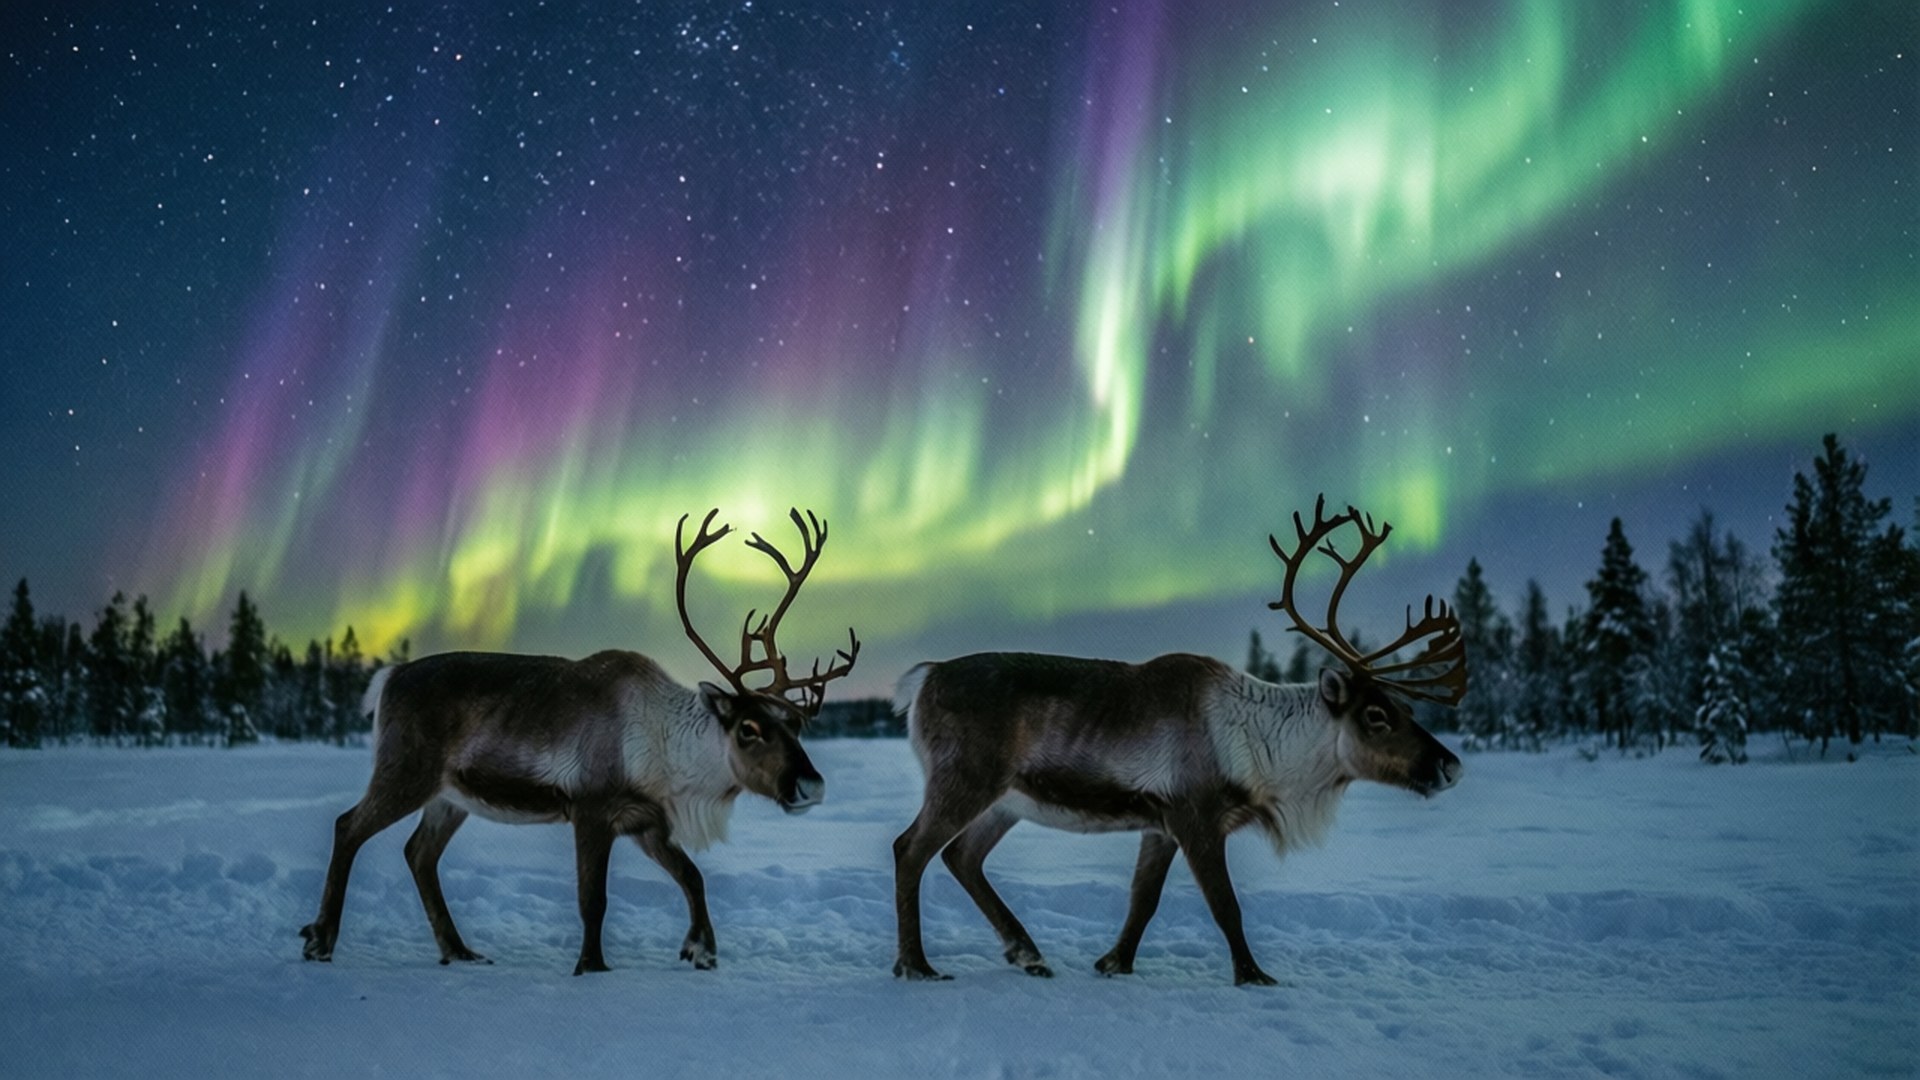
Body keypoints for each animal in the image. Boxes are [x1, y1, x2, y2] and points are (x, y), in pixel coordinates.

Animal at [299, 508, 859, 975]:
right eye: (749, 729)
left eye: (795, 725)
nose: (810, 785)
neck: (670, 759)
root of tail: (387, 678)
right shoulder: (591, 808)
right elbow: (594, 899)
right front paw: (591, 968)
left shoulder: (646, 821)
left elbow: (693, 877)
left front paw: (701, 950)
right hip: (405, 770)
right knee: (348, 826)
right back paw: (321, 940)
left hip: (450, 796)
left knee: (419, 853)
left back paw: (458, 950)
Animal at [890, 497, 1467, 985]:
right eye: (1376, 715)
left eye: (1408, 708)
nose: (1451, 766)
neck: (1270, 759)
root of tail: (923, 678)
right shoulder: (1197, 815)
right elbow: (1225, 905)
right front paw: (1253, 976)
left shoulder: (1160, 824)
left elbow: (1142, 901)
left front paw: (1114, 963)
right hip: (966, 778)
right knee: (910, 849)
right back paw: (917, 965)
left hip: (1007, 801)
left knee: (961, 856)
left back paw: (1028, 954)